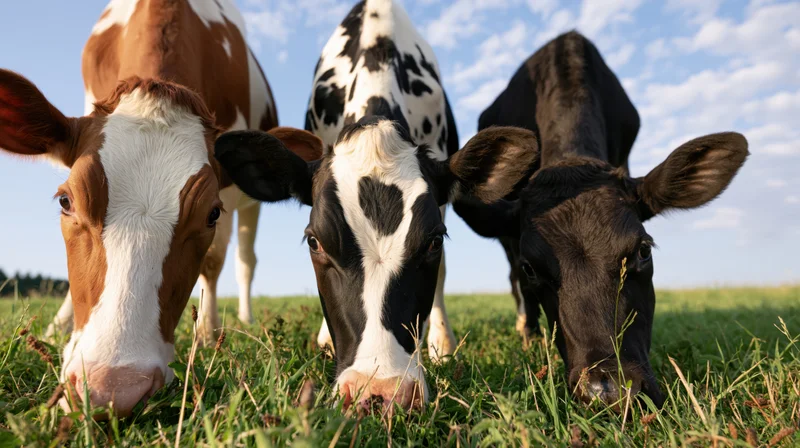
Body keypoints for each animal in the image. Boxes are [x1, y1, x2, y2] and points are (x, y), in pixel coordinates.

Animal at [0, 0, 320, 417]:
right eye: (66, 201)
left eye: (211, 214)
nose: (113, 387)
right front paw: (58, 329)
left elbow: (213, 261)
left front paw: (207, 335)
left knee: (244, 261)